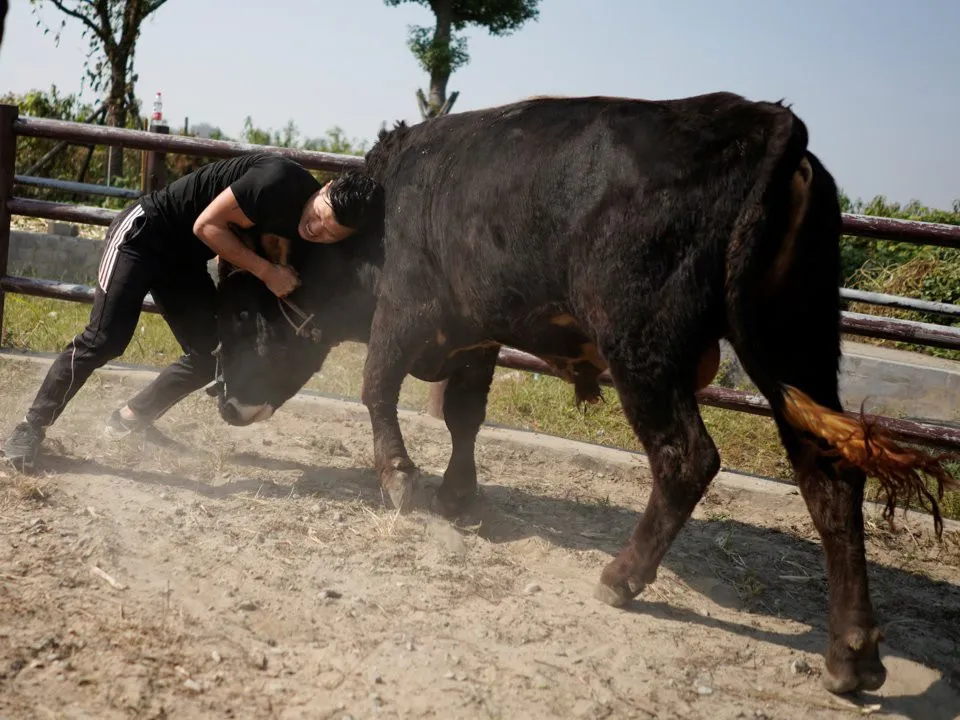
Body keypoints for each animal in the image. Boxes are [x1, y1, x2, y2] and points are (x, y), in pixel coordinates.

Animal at [214, 93, 956, 696]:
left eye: (250, 316)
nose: (224, 403)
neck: (383, 207)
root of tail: (764, 121)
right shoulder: (477, 334)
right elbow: (464, 415)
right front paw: (459, 494)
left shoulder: (403, 311)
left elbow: (377, 389)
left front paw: (402, 481)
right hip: (795, 345)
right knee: (831, 481)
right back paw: (852, 654)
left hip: (643, 347)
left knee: (688, 459)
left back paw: (621, 576)